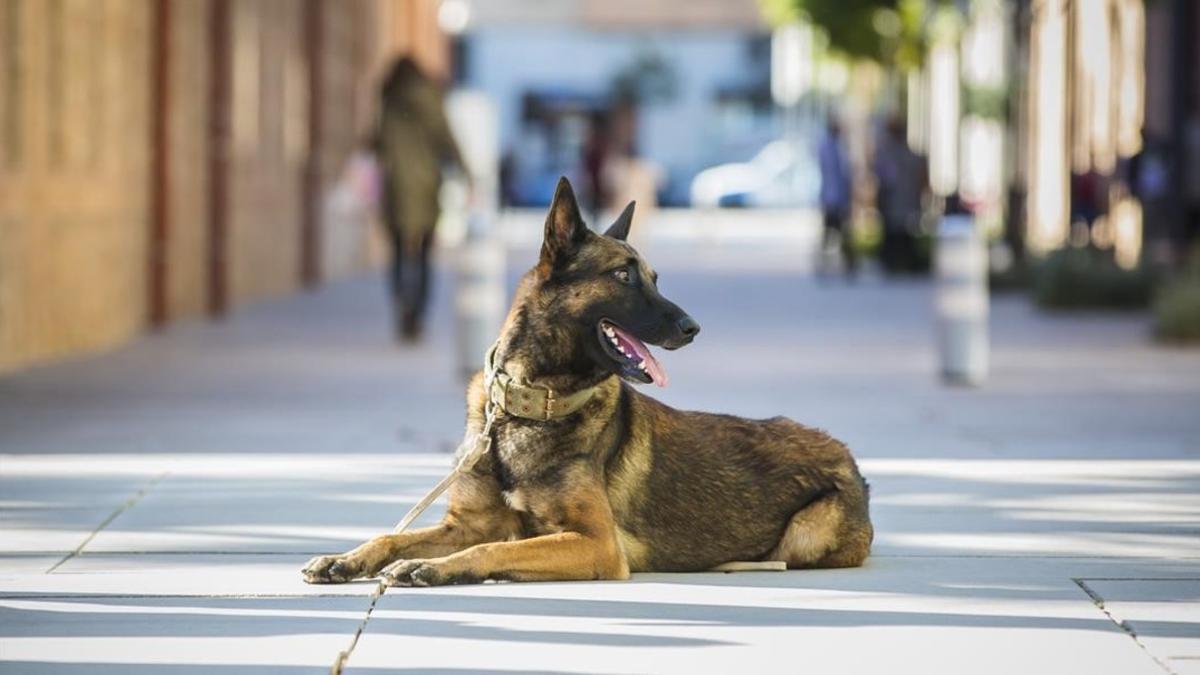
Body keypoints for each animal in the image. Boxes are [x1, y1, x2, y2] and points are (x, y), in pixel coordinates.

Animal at [302, 177, 873, 583]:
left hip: (804, 535)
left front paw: (439, 568)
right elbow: (393, 536)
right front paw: (348, 558)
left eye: (655, 279)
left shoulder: (595, 543)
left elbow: (493, 546)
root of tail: (848, 456)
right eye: (624, 276)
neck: (529, 406)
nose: (693, 327)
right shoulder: (465, 522)